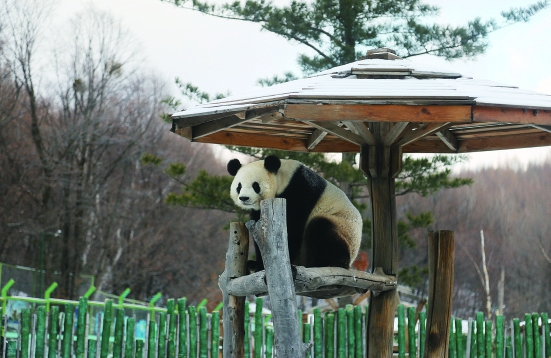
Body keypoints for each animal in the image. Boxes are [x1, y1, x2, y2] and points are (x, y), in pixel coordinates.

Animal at [226, 155, 364, 272]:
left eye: (255, 185)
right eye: (239, 186)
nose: (244, 198)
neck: (283, 178)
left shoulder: (299, 191)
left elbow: (292, 227)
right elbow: (261, 233)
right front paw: (257, 263)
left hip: (342, 226)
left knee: (322, 228)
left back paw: (330, 262)